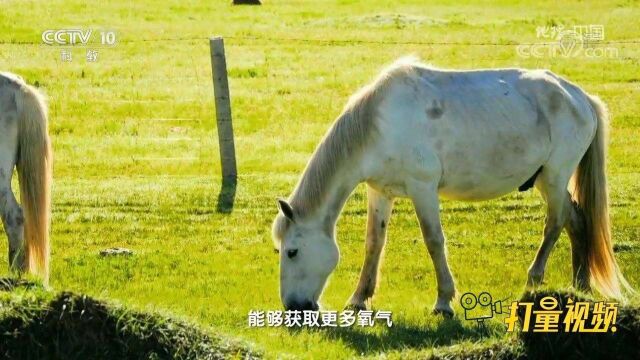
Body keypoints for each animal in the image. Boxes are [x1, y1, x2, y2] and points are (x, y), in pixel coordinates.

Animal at [272, 57, 632, 316]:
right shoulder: (380, 192)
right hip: (547, 180)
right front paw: (359, 299)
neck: (380, 124)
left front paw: (444, 302)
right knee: (577, 220)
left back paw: (533, 283)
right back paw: (580, 286)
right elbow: (374, 243)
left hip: (555, 176)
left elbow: (434, 241)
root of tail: (580, 97)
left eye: (292, 251)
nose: (293, 307)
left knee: (555, 224)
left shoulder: (423, 189)